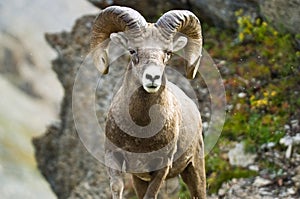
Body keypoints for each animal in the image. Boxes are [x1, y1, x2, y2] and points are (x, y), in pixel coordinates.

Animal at [90, 5, 205, 198]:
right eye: (132, 51)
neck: (140, 132)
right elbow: (117, 187)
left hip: (194, 168)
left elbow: (151, 195)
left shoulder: (161, 167)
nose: (152, 77)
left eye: (168, 52)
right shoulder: (113, 157)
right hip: (142, 179)